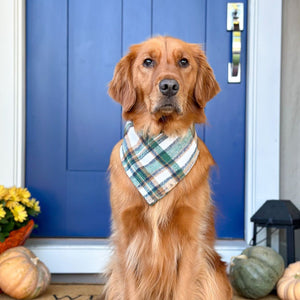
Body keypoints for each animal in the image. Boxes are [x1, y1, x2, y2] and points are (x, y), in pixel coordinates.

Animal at [104, 37, 233, 300]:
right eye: (147, 62)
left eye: (184, 62)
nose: (169, 86)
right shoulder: (126, 237)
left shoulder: (191, 240)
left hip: (213, 276)